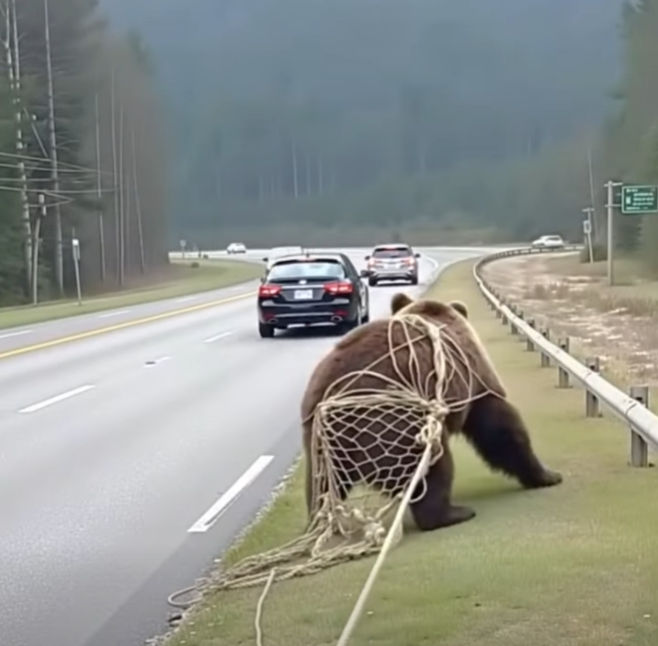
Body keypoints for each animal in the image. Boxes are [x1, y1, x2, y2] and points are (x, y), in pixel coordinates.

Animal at [300, 292, 562, 532]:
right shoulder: (474, 378)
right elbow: (499, 427)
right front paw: (548, 475)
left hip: (323, 442)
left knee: (321, 484)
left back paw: (321, 521)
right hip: (395, 421)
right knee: (430, 465)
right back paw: (453, 513)